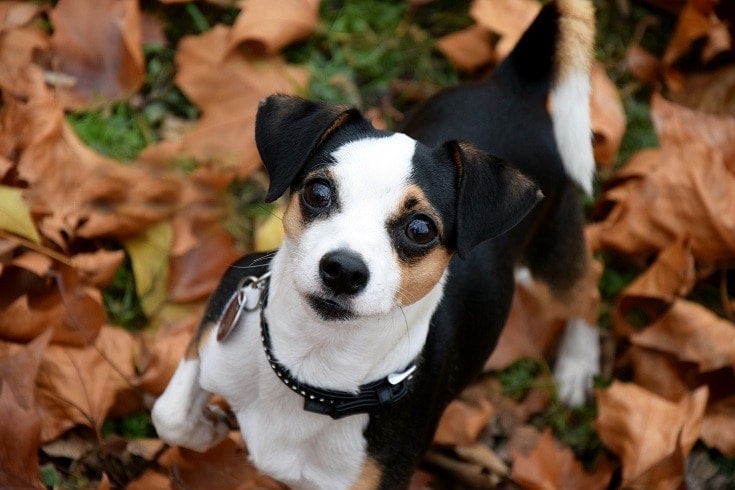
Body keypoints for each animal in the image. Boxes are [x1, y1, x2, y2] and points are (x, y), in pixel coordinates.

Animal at [154, 1, 600, 488]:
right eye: (317, 192)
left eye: (421, 229)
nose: (343, 270)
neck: (312, 370)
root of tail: (513, 83)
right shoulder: (222, 319)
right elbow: (168, 415)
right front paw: (207, 428)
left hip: (551, 256)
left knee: (587, 291)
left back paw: (577, 366)